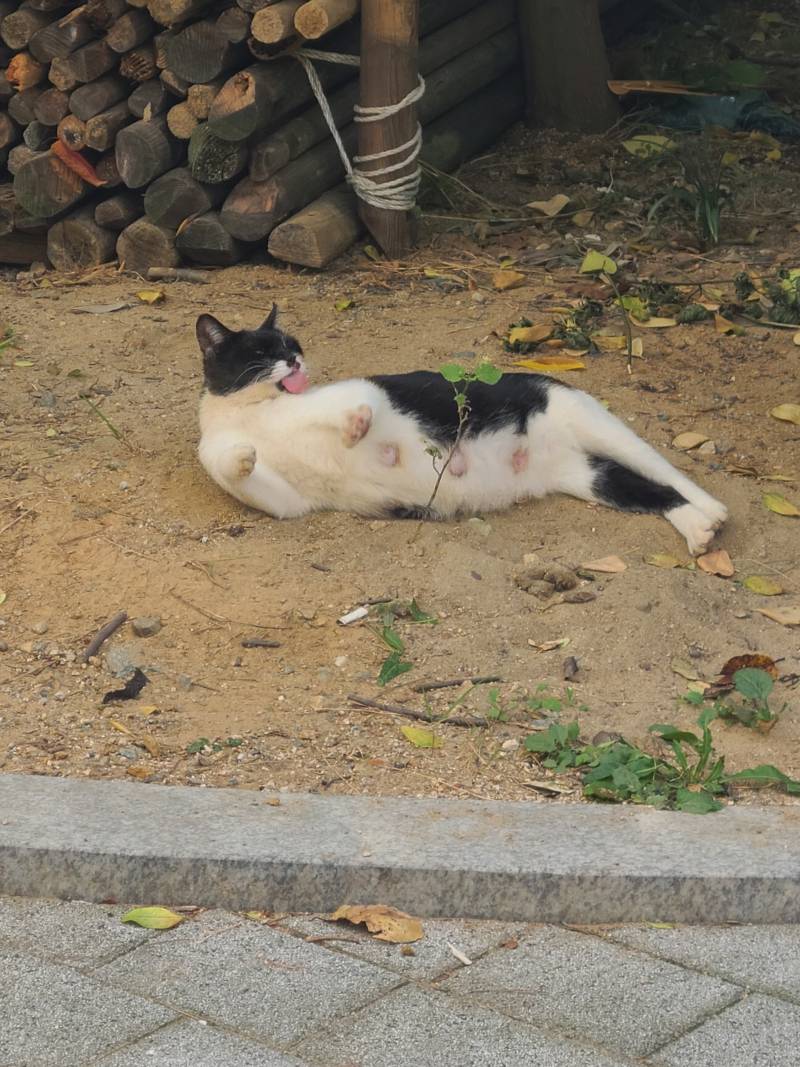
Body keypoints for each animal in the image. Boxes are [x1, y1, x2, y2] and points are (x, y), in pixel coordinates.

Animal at [197, 305, 729, 554]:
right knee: (650, 492)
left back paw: (714, 510)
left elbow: (355, 406)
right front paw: (243, 457)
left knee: (667, 472)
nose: (294, 360)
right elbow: (234, 467)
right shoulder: (289, 501)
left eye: (292, 345)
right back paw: (698, 529)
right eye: (262, 352)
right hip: (588, 478)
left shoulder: (359, 391)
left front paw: (354, 430)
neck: (250, 413)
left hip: (590, 419)